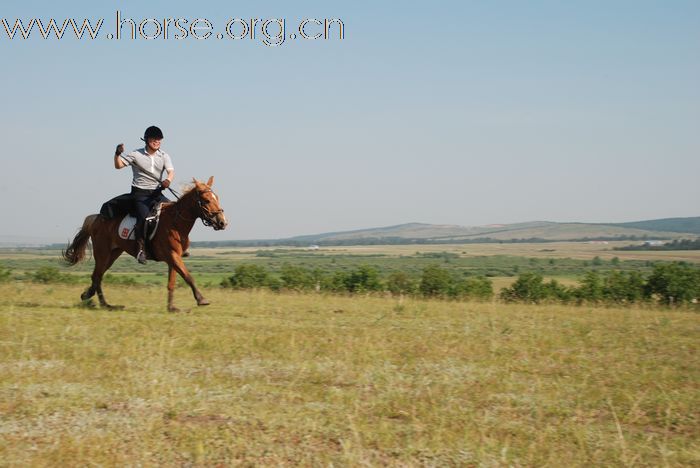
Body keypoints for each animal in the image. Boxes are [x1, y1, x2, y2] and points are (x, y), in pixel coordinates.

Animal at [63, 176, 227, 310]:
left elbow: (172, 282)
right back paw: (105, 305)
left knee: (98, 276)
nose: (222, 222)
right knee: (97, 276)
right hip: (102, 252)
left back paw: (90, 296)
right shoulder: (172, 255)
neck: (175, 223)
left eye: (217, 198)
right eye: (206, 200)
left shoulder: (174, 258)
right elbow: (188, 276)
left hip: (113, 253)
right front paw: (201, 299)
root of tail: (95, 218)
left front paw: (171, 307)